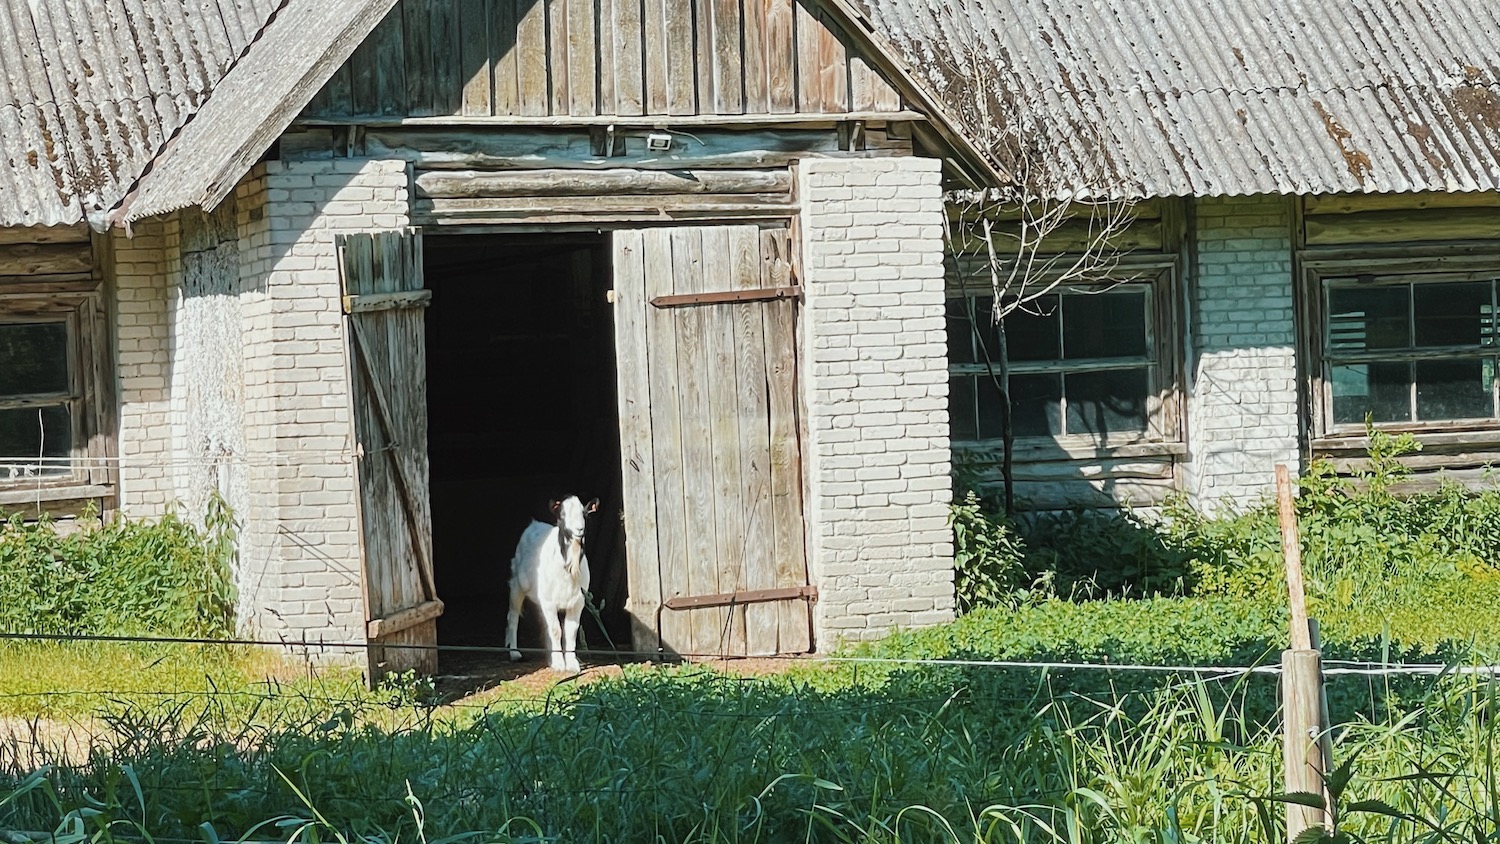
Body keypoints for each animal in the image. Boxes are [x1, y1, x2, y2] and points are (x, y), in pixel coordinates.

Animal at [504, 494, 597, 674]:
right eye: (562, 515)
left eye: (585, 514)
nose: (579, 529)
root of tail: (534, 524)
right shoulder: (548, 602)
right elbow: (555, 630)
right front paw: (559, 663)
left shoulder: (578, 601)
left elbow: (570, 631)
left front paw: (572, 663)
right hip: (517, 585)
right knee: (513, 617)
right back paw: (515, 653)